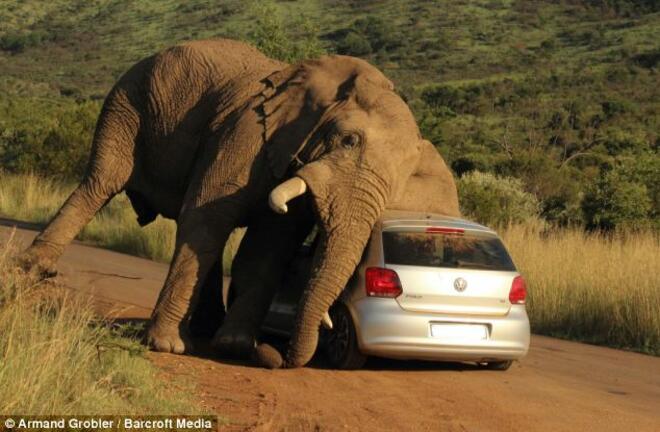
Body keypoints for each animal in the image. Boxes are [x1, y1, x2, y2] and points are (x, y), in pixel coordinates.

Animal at [18, 38, 456, 368]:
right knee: (101, 183)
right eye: (349, 141)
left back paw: (204, 331)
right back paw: (32, 271)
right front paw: (168, 347)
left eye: (403, 177)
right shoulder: (248, 132)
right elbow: (208, 216)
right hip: (128, 101)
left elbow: (269, 244)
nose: (274, 355)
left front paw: (235, 346)